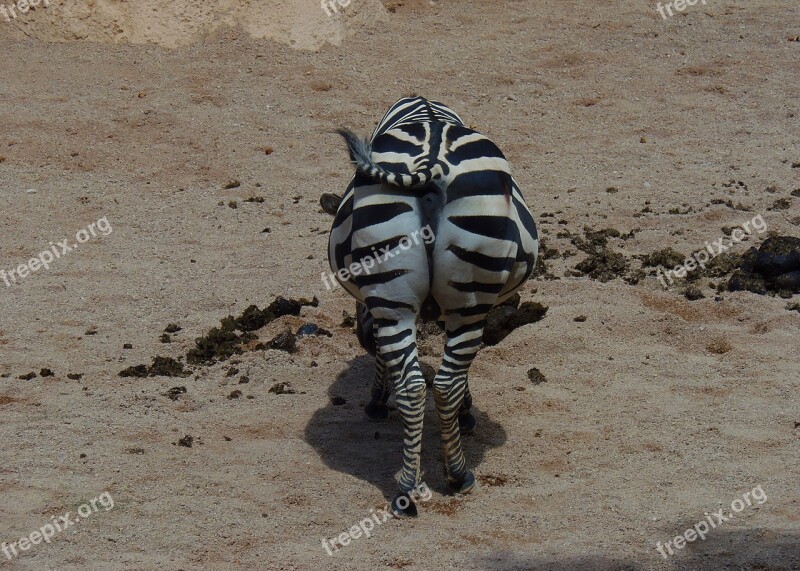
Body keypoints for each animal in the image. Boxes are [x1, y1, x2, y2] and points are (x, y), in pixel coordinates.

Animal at [324, 97, 536, 520]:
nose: (360, 335)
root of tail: (431, 160)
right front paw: (466, 414)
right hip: (468, 299)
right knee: (442, 383)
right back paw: (455, 475)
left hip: (398, 298)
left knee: (416, 385)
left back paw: (411, 486)